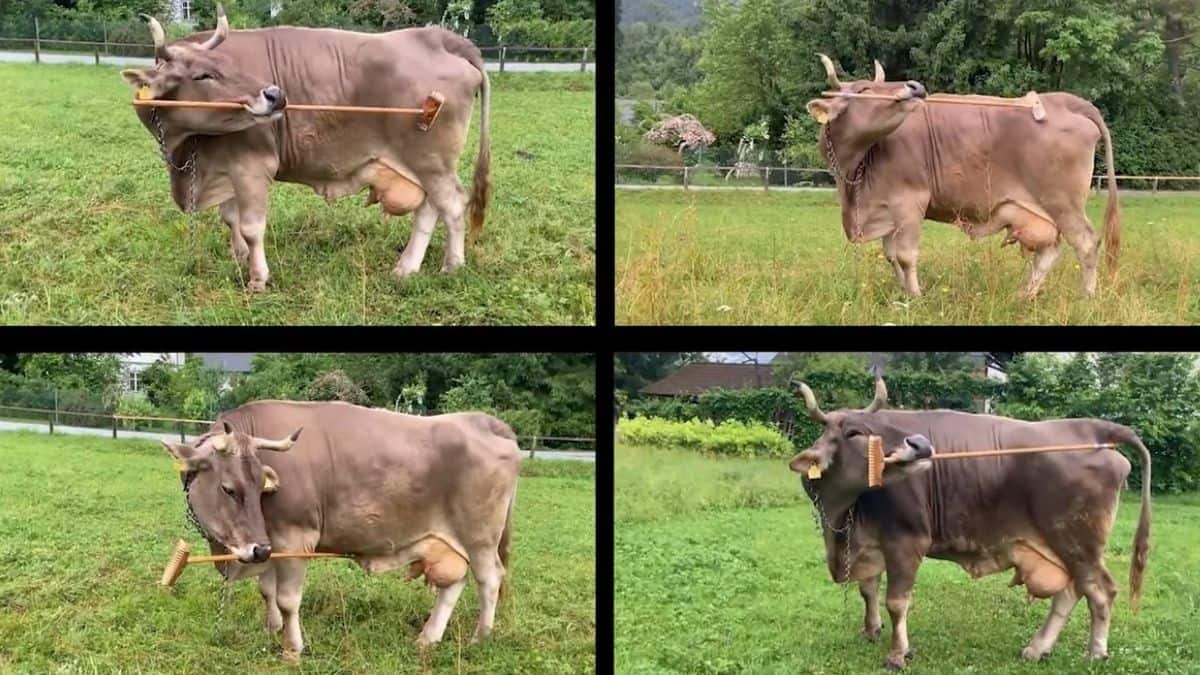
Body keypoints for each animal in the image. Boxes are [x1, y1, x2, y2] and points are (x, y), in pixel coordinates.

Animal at [121, 6, 491, 291]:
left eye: (229, 66)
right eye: (202, 75)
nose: (275, 94)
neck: (185, 149)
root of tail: (439, 37)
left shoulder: (252, 166)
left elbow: (251, 227)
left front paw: (258, 278)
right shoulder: (224, 167)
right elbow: (230, 219)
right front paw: (239, 258)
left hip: (431, 161)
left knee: (452, 204)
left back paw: (451, 266)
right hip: (423, 167)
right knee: (429, 209)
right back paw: (407, 267)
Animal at [161, 400, 520, 660]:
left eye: (260, 486)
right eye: (229, 489)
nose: (257, 550)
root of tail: (483, 421)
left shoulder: (295, 537)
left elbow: (288, 599)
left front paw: (292, 649)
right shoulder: (272, 542)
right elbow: (267, 590)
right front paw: (271, 629)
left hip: (481, 538)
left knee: (489, 580)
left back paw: (480, 638)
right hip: (447, 542)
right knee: (454, 583)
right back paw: (428, 638)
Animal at [786, 378, 1151, 670]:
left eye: (881, 425)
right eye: (852, 432)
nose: (920, 444)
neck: (843, 515)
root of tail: (1092, 428)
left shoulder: (906, 541)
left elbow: (896, 602)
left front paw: (897, 654)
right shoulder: (868, 542)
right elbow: (868, 589)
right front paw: (870, 630)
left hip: (1079, 543)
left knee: (1100, 591)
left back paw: (1095, 653)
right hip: (1064, 547)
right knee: (1071, 591)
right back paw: (1037, 649)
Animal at [805, 55, 1120, 299]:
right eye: (864, 88)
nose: (915, 86)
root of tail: (1065, 100)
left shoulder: (910, 202)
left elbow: (906, 256)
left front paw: (916, 297)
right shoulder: (886, 209)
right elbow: (891, 255)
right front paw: (902, 294)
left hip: (1063, 203)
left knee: (1086, 244)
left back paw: (1086, 297)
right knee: (1050, 251)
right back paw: (1024, 295)